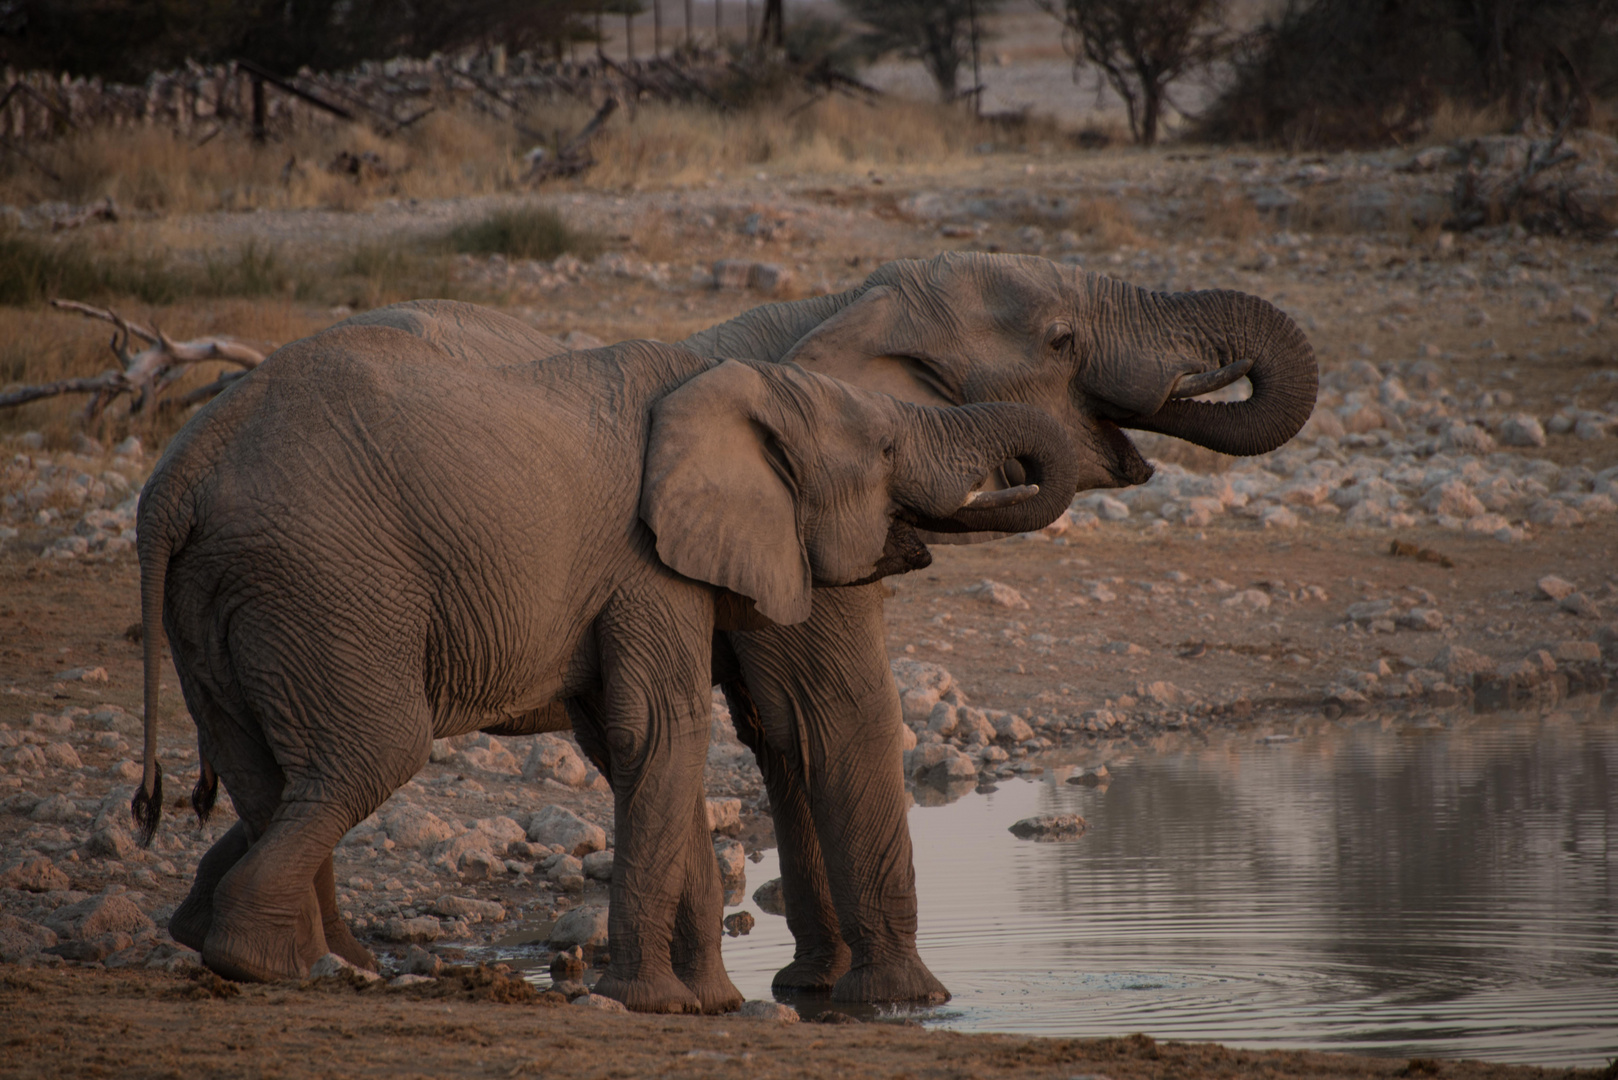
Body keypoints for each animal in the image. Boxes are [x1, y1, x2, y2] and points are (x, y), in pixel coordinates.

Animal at [129, 302, 1087, 1016]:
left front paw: (708, 1006)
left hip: (227, 600)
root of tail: (175, 477)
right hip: (324, 584)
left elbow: (638, 747)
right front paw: (662, 1004)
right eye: (885, 452)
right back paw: (275, 964)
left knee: (267, 777)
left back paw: (304, 959)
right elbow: (661, 732)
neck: (727, 381)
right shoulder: (643, 563)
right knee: (371, 753)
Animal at [663, 249, 1320, 1003]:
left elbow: (780, 732)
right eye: (1060, 341)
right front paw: (913, 999)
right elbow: (839, 709)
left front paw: (813, 989)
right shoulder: (804, 521)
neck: (840, 307)